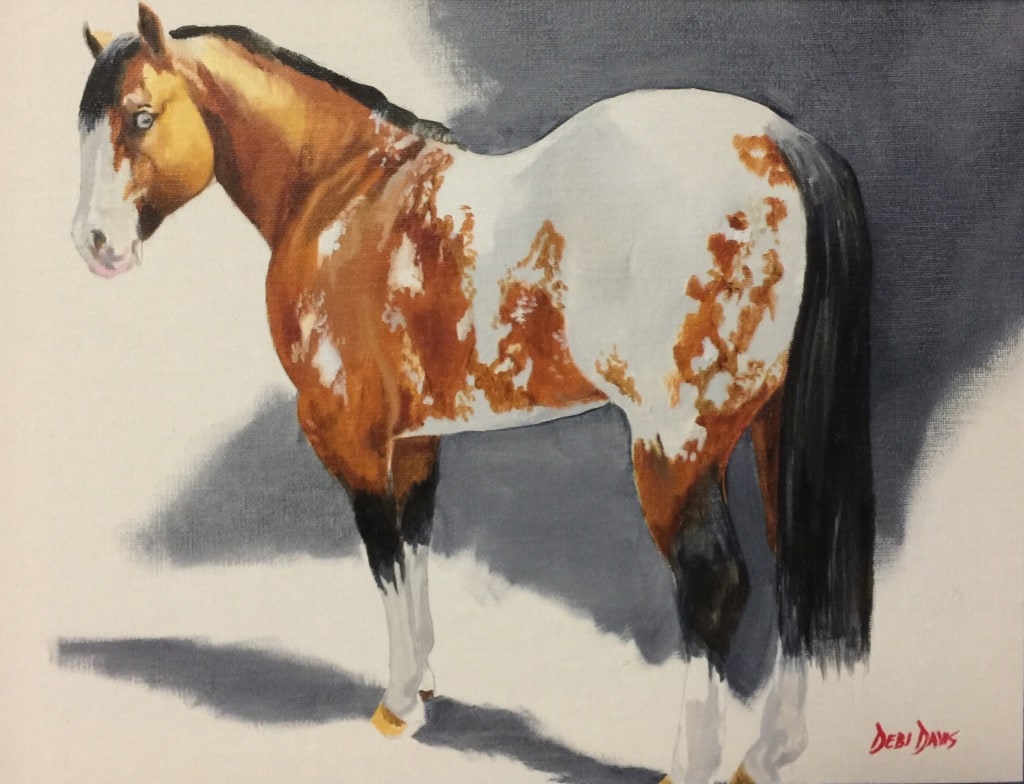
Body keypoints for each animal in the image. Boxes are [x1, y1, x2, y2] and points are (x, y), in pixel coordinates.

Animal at [72, 6, 874, 783]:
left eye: (140, 116)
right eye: (88, 124)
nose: (95, 244)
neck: (340, 190)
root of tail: (779, 140)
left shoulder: (350, 439)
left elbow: (385, 559)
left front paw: (398, 704)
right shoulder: (416, 440)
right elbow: (418, 544)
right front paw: (425, 679)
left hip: (674, 450)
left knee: (715, 586)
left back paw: (694, 765)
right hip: (773, 431)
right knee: (796, 568)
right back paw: (769, 755)